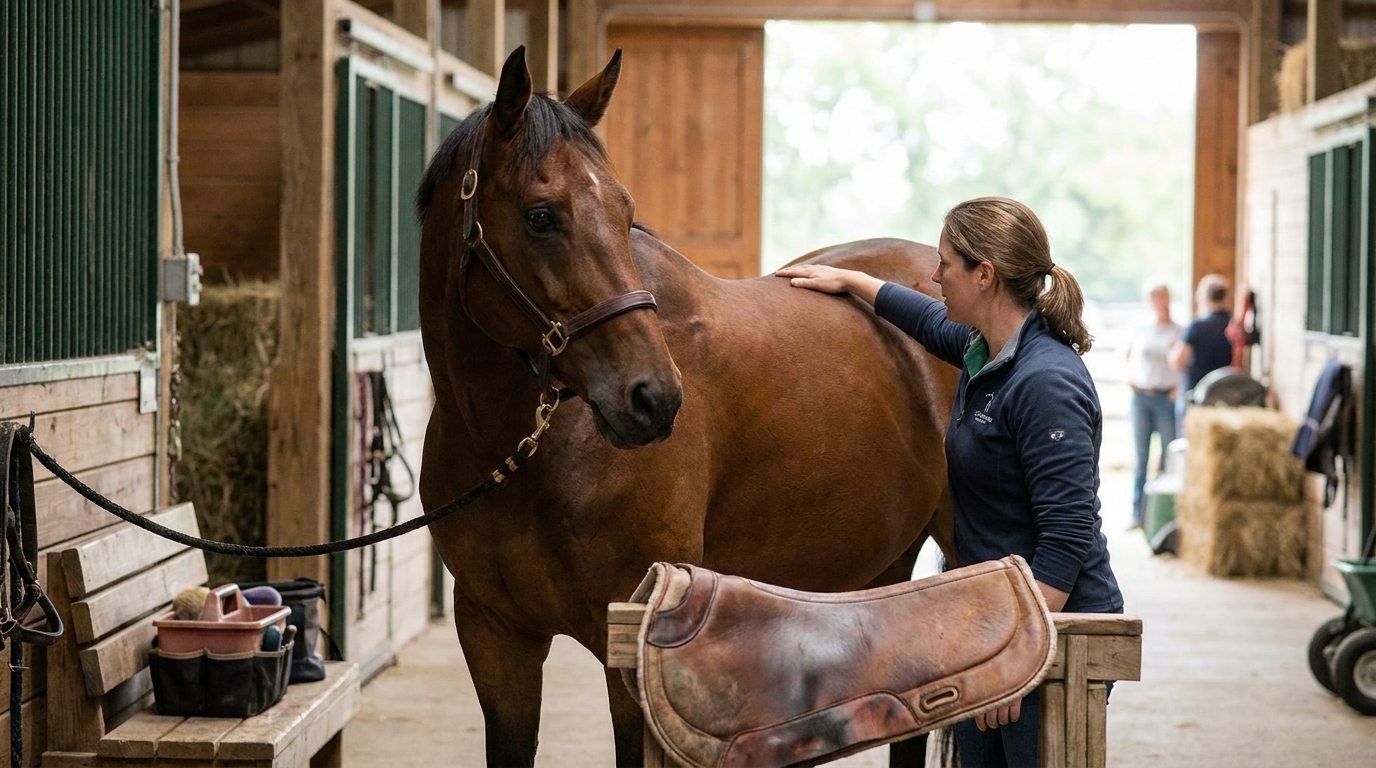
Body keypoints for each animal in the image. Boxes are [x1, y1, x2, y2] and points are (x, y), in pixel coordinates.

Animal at [416, 47, 960, 766]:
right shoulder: (493, 635)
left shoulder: (632, 647)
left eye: (626, 213)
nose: (654, 397)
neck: (523, 456)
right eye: (541, 215)